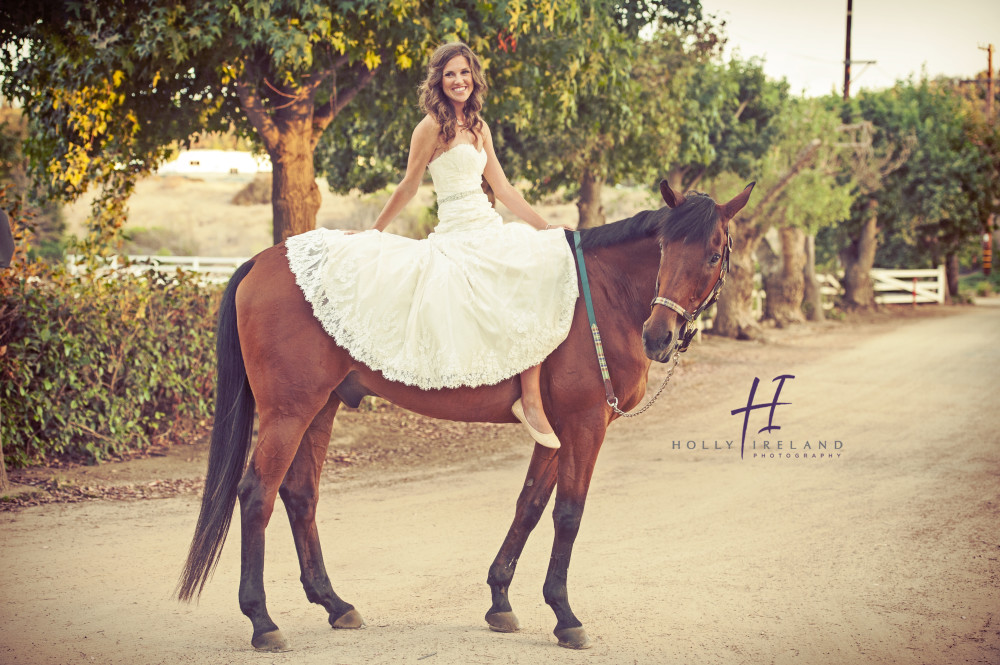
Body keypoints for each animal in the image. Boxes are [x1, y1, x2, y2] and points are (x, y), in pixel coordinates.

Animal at [180, 180, 752, 648]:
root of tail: (263, 260)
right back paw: (262, 621)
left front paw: (501, 599)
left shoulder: (557, 432)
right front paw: (565, 616)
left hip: (319, 409)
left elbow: (530, 505)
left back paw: (334, 604)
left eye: (711, 254)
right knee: (257, 494)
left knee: (300, 496)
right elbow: (568, 513)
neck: (603, 294)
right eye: (663, 248)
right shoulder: (586, 424)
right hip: (287, 413)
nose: (659, 337)